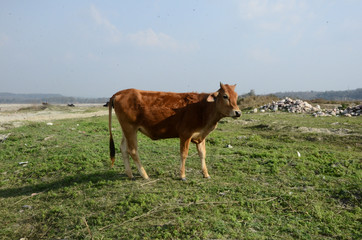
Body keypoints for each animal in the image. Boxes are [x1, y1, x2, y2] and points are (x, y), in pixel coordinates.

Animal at [109, 83, 242, 180]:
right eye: (225, 96)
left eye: (236, 96)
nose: (238, 112)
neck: (202, 108)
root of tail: (119, 93)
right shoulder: (185, 134)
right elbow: (183, 154)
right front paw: (182, 175)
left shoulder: (200, 136)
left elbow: (202, 154)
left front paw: (206, 174)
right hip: (130, 128)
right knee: (133, 151)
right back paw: (144, 175)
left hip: (126, 130)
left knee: (123, 148)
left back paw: (130, 174)